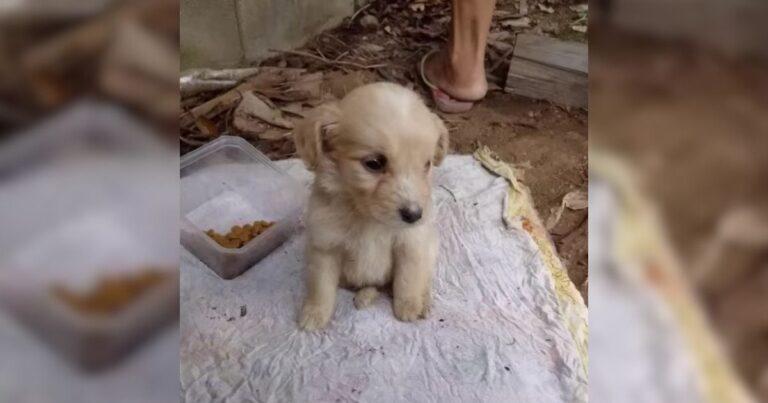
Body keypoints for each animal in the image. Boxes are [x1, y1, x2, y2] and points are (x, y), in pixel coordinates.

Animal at [294, 83, 450, 332]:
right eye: (374, 164)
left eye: (426, 165)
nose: (415, 215)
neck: (368, 219)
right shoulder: (325, 247)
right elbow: (320, 286)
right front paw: (314, 314)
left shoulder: (411, 243)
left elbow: (408, 279)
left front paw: (408, 307)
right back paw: (365, 295)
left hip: (431, 246)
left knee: (422, 276)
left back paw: (423, 301)